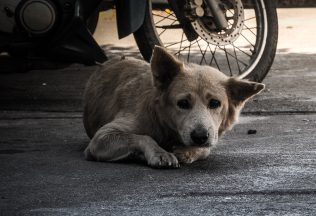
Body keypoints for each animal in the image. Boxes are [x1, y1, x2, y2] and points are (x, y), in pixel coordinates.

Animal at [82, 46, 264, 168]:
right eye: (183, 103)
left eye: (214, 103)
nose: (200, 136)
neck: (166, 129)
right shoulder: (101, 138)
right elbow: (143, 137)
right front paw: (160, 153)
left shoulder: (210, 138)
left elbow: (205, 150)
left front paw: (187, 151)